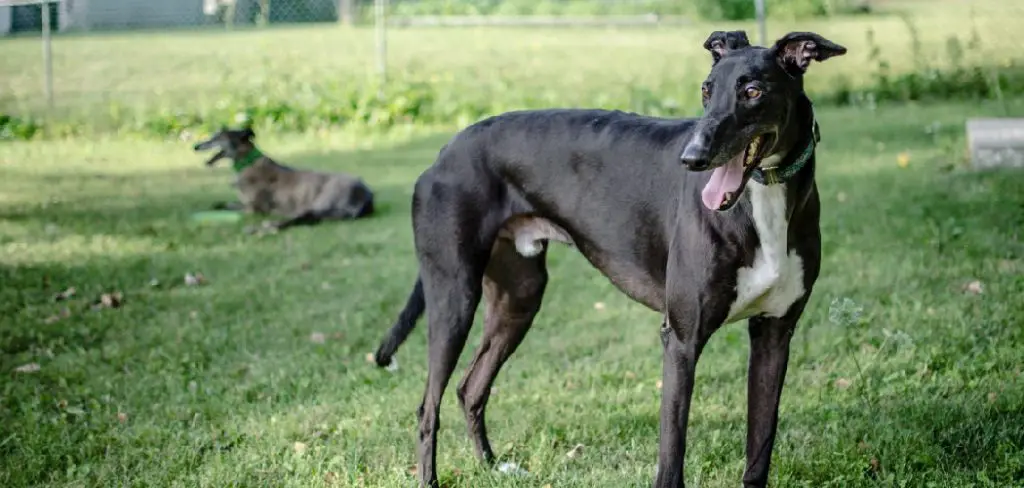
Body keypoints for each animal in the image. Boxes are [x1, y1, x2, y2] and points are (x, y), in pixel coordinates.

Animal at [192, 125, 376, 232]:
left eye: (219, 136)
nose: (195, 146)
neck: (247, 162)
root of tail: (366, 195)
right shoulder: (245, 203)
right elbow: (221, 204)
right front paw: (218, 205)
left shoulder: (254, 210)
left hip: (322, 201)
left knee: (301, 219)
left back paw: (269, 227)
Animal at [372, 30, 843, 486]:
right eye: (706, 90)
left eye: (752, 91)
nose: (692, 158)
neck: (762, 198)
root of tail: (444, 152)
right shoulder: (681, 339)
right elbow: (671, 458)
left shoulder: (774, 333)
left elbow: (759, 449)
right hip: (453, 296)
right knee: (427, 407)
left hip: (517, 298)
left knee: (470, 388)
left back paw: (492, 467)